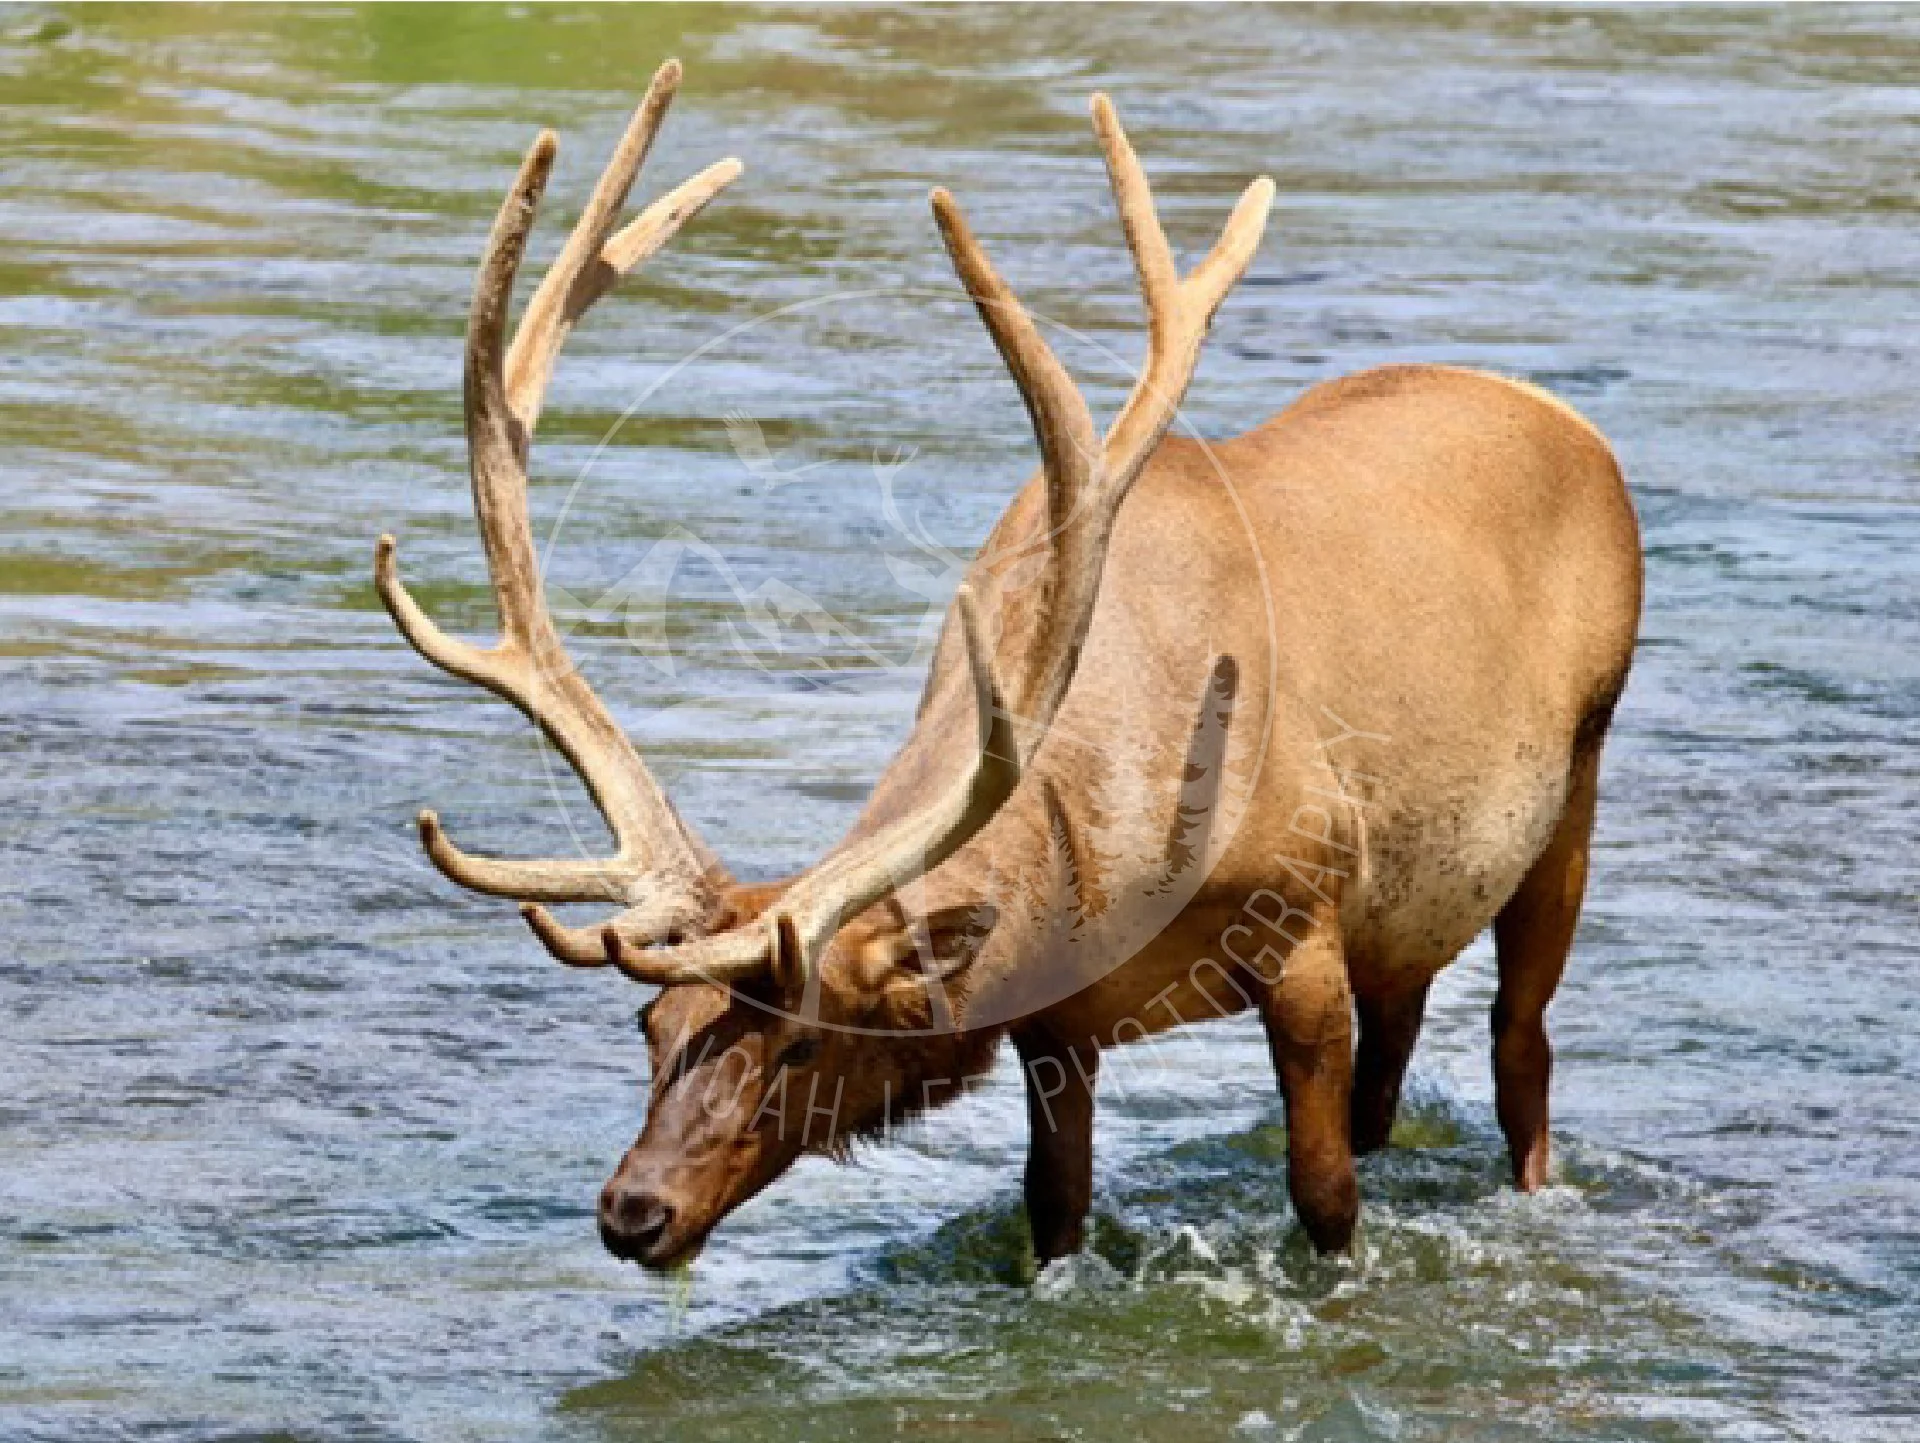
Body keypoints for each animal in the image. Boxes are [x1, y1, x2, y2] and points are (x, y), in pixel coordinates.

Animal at [375, 61, 1642, 1273]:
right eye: (653, 1028)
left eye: (801, 1038)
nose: (632, 1209)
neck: (1112, 848)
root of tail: (1561, 417)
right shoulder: (1056, 1021)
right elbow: (1054, 1207)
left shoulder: (1305, 919)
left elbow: (1326, 1200)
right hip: (1411, 917)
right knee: (1402, 1061)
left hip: (1572, 786)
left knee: (1521, 1051)